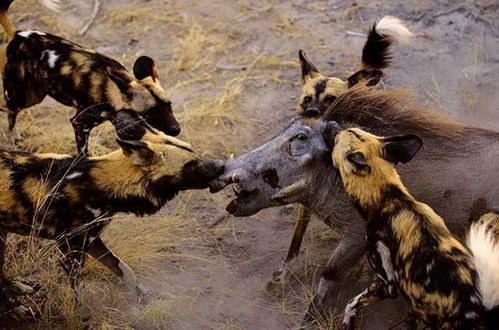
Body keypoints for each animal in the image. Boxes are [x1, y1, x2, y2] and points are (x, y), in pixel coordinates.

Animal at [0, 0, 181, 155]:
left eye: (169, 105)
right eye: (151, 111)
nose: (176, 129)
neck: (112, 91)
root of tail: (18, 34)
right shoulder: (79, 124)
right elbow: (83, 154)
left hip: (36, 96)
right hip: (21, 97)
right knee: (8, 110)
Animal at [0, 111, 223, 312]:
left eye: (194, 151)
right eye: (190, 164)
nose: (221, 165)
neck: (96, 184)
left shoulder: (92, 242)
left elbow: (125, 271)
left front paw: (143, 297)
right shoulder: (71, 254)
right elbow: (78, 297)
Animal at [274, 14, 414, 284]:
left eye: (331, 100)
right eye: (307, 100)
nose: (311, 113)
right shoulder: (307, 199)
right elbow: (295, 240)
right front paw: (285, 268)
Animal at [332, 127, 499, 328]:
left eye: (338, 140)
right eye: (355, 131)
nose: (335, 129)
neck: (388, 197)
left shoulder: (386, 284)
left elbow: (351, 303)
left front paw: (347, 322)